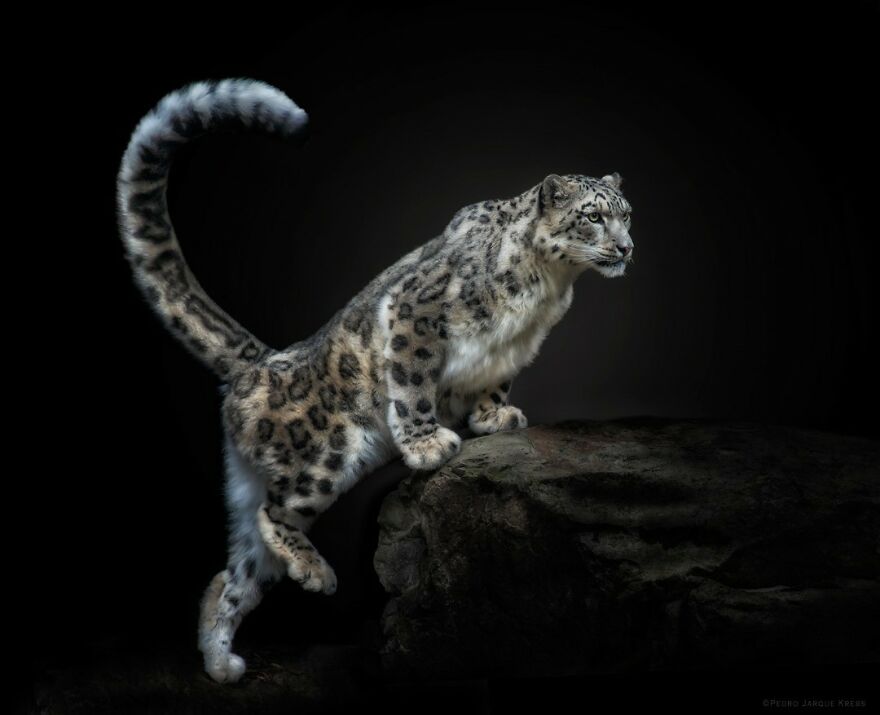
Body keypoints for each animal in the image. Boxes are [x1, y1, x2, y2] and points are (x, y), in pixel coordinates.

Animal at [116, 78, 634, 683]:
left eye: (627, 215)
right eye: (593, 216)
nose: (626, 247)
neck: (549, 289)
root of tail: (260, 363)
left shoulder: (515, 350)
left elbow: (496, 380)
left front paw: (494, 415)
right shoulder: (415, 311)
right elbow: (412, 382)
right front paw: (428, 443)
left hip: (247, 497)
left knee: (233, 573)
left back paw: (223, 664)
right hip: (325, 457)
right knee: (274, 513)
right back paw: (316, 574)